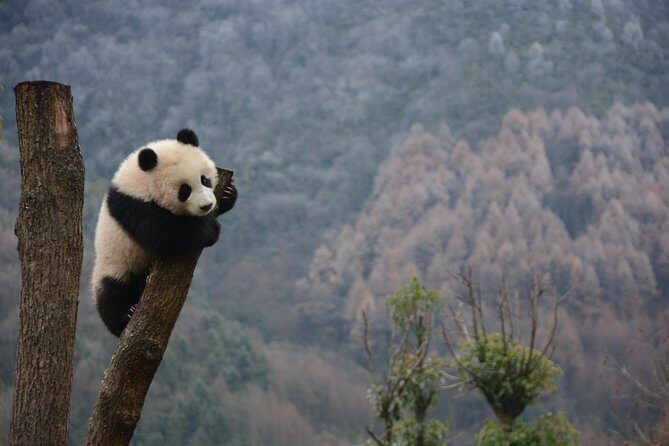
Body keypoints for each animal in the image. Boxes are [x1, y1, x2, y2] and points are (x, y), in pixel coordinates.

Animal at [91, 128, 236, 337]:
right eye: (185, 190)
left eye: (204, 179)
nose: (207, 205)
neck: (141, 180)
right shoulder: (134, 205)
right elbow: (163, 233)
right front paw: (210, 229)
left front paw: (228, 194)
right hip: (114, 265)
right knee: (111, 294)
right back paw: (125, 316)